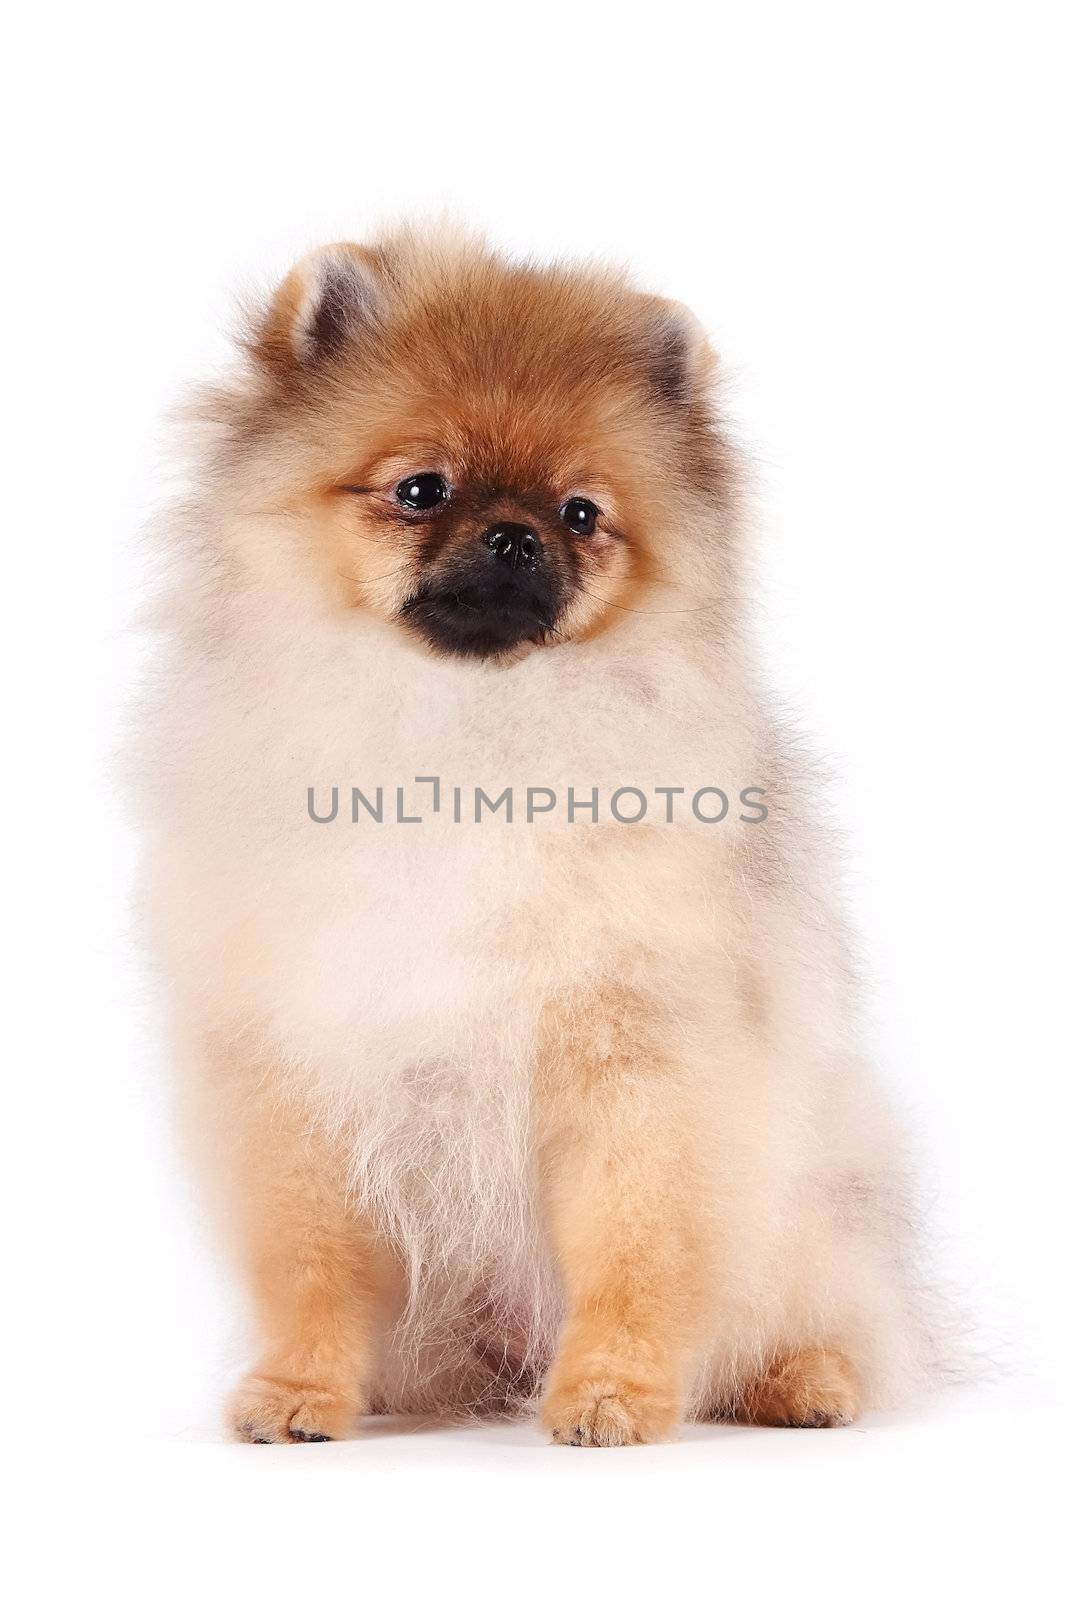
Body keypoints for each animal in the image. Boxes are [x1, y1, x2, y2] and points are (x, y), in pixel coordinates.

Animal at [143, 228, 934, 1452]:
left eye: (579, 513)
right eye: (421, 490)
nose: (514, 536)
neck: (469, 738)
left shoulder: (639, 1062)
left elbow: (633, 1248)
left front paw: (610, 1395)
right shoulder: (293, 1065)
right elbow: (311, 1263)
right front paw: (299, 1391)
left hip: (809, 1210)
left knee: (828, 1311)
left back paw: (802, 1381)